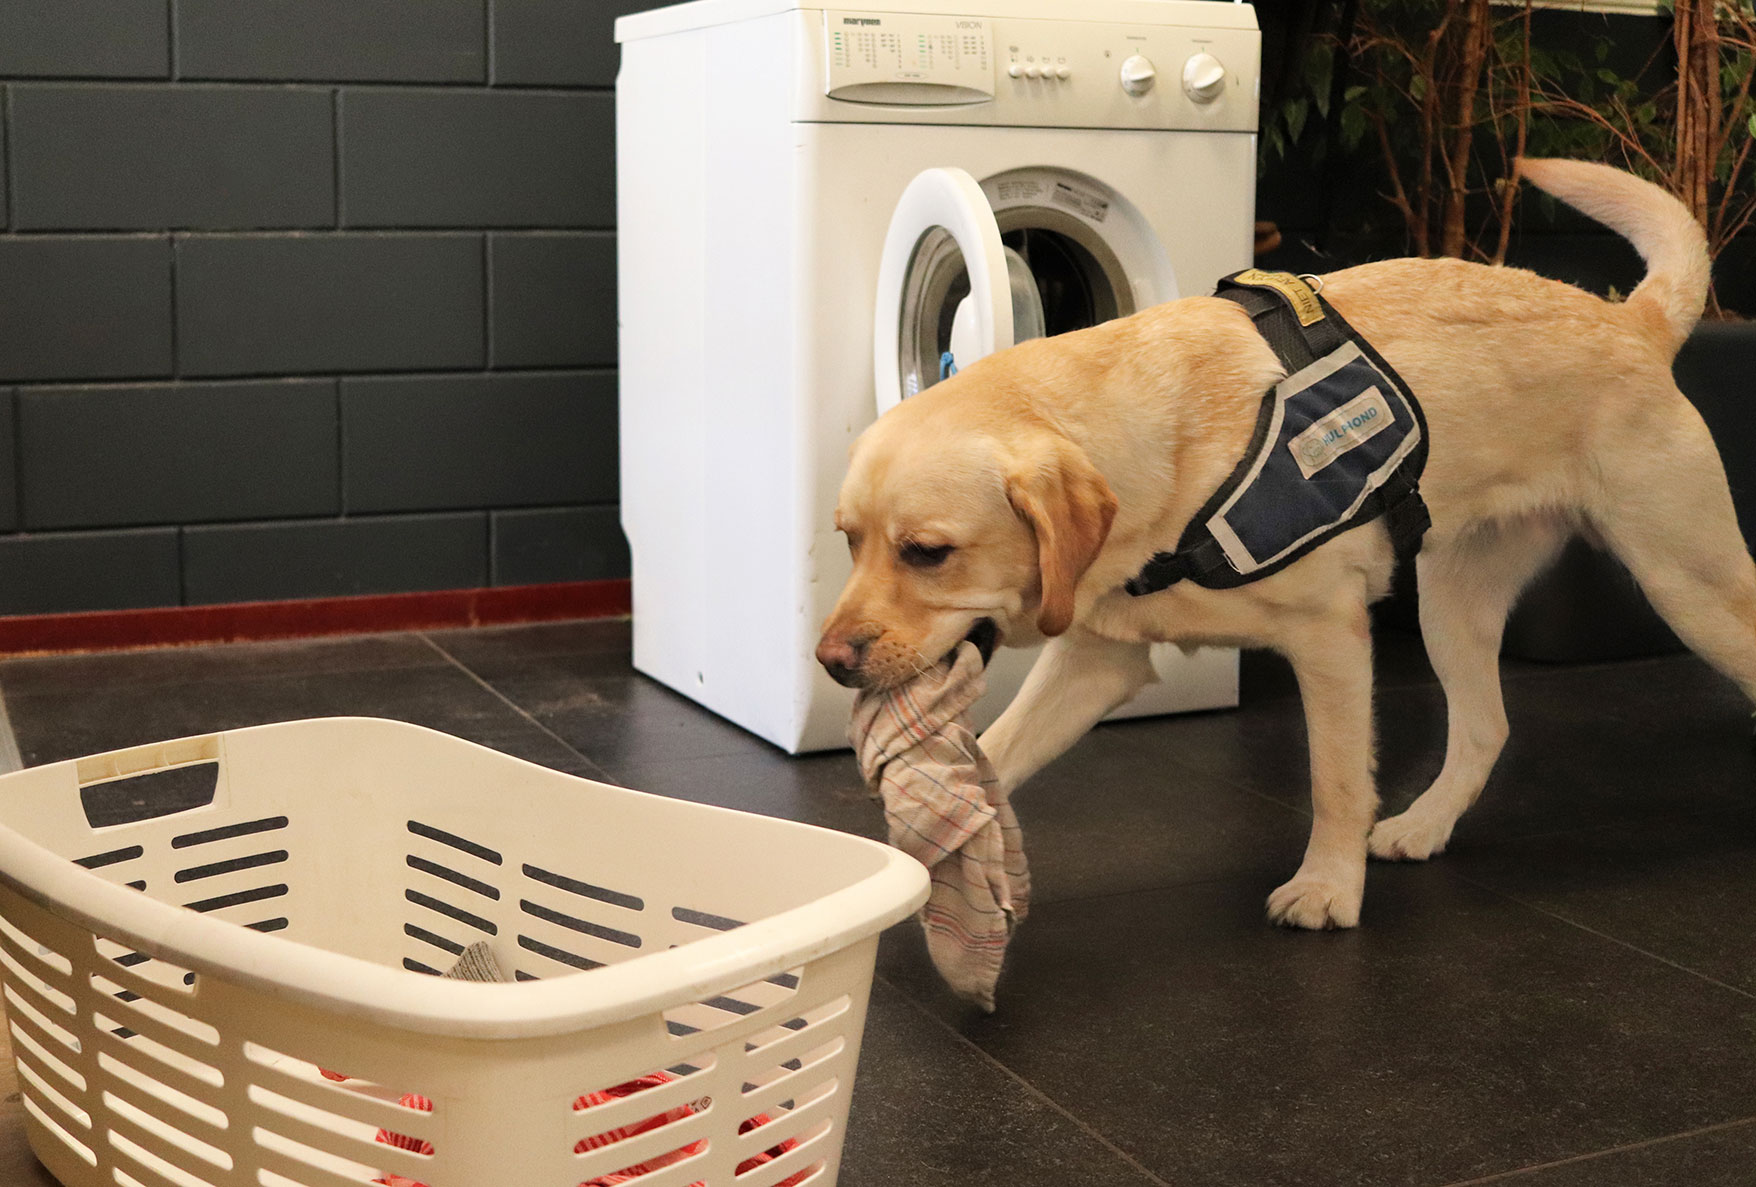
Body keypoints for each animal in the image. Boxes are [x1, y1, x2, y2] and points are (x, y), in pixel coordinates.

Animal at [814, 159, 1748, 934]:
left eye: (927, 551)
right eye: (850, 541)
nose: (829, 661)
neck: (1167, 456)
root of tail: (1632, 320)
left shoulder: (1331, 641)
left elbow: (1335, 782)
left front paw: (1328, 888)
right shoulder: (1097, 659)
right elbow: (995, 755)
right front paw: (900, 868)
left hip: (1692, 585)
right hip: (1452, 606)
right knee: (1486, 726)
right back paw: (1424, 824)